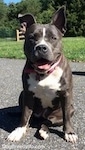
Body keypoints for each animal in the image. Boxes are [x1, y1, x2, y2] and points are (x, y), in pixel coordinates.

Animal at [7, 6, 77, 144]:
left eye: (53, 38)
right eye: (32, 38)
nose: (41, 47)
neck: (44, 74)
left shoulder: (66, 94)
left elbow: (66, 117)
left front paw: (69, 133)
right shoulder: (28, 94)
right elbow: (25, 115)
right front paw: (19, 130)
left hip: (68, 109)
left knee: (48, 121)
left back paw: (43, 131)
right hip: (22, 94)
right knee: (33, 118)